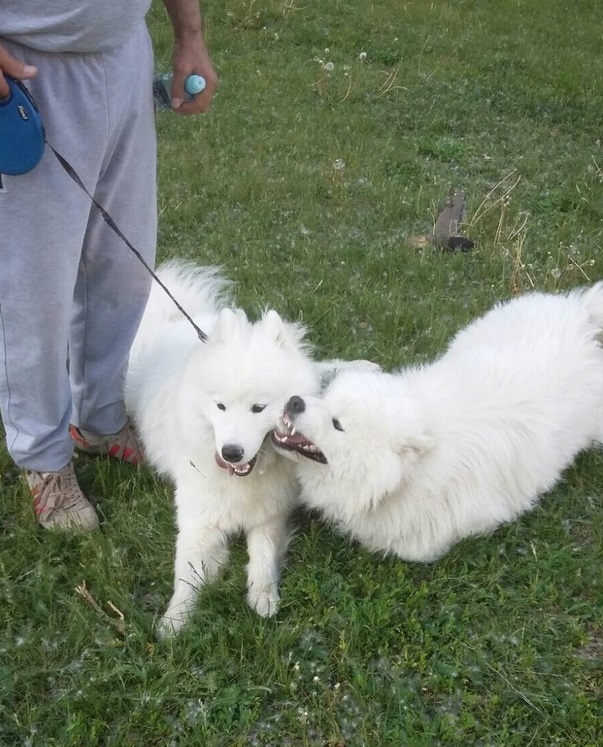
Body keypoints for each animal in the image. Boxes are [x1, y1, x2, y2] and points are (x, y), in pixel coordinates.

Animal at [126, 260, 372, 636]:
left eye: (259, 408)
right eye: (220, 406)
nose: (231, 452)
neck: (244, 480)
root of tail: (170, 323)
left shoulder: (271, 513)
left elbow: (264, 553)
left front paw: (263, 596)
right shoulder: (198, 521)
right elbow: (187, 573)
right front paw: (175, 620)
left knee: (318, 367)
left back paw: (360, 367)